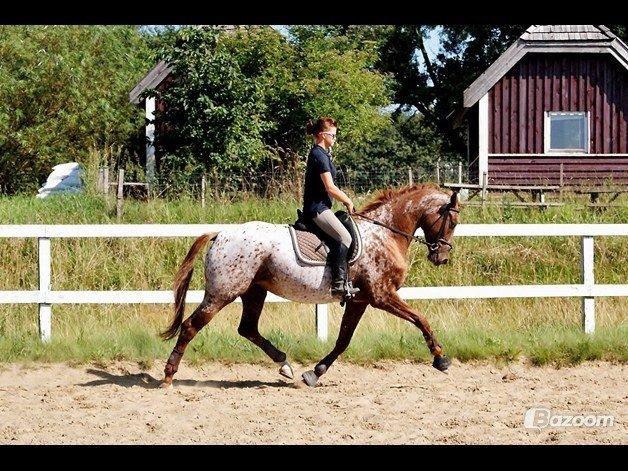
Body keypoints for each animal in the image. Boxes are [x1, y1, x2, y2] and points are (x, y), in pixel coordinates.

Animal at [159, 183, 458, 388]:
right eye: (452, 221)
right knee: (190, 326)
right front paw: (440, 358)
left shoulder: (360, 300)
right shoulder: (381, 295)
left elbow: (343, 340)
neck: (385, 233)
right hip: (223, 293)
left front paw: (314, 373)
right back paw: (168, 376)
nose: (441, 257)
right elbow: (420, 319)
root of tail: (220, 233)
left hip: (254, 291)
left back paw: (285, 365)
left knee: (247, 329)